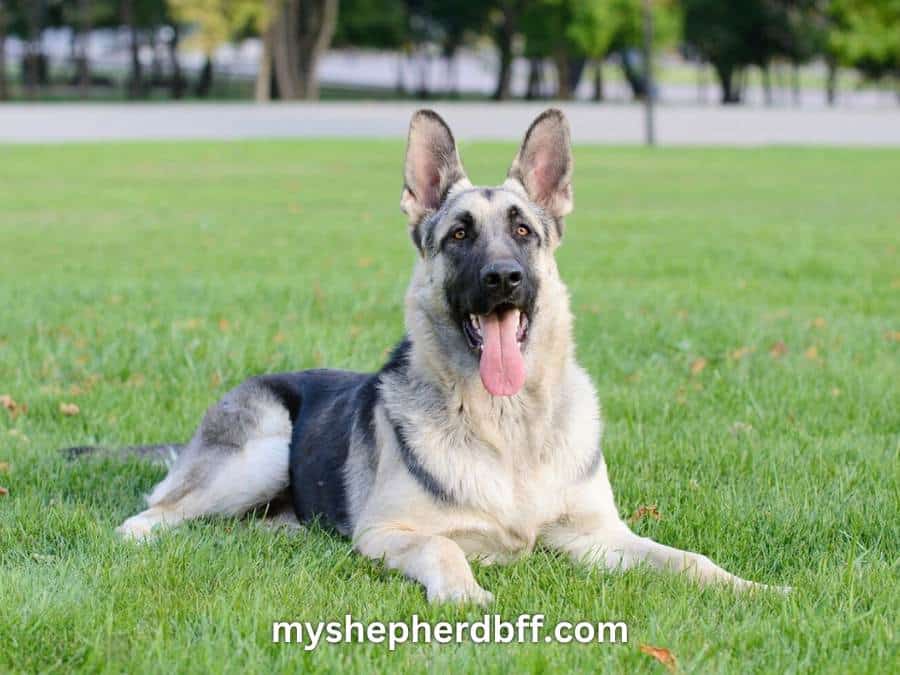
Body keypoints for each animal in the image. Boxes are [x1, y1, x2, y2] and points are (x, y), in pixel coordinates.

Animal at [86, 109, 788, 604]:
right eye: (458, 235)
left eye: (523, 230)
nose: (504, 278)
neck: (508, 427)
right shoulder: (388, 535)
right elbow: (444, 551)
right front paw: (465, 593)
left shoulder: (597, 538)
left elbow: (688, 559)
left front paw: (755, 588)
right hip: (257, 451)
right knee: (150, 515)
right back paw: (142, 541)